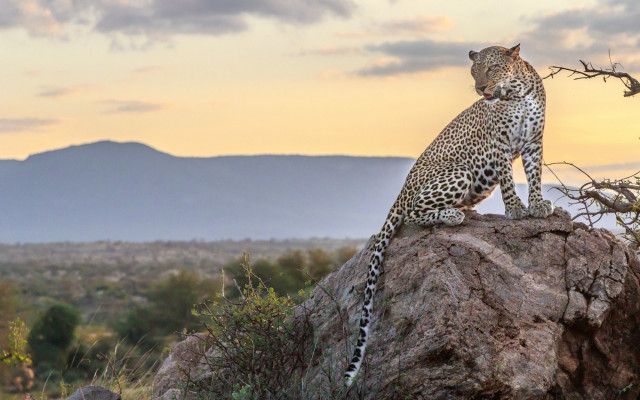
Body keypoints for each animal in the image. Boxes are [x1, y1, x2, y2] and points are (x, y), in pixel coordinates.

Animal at [344, 44, 554, 386]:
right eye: (474, 70)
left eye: (492, 68)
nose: (481, 88)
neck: (517, 93)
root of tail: (401, 190)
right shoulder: (499, 143)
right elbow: (508, 179)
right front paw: (514, 209)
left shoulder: (534, 141)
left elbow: (535, 176)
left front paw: (537, 205)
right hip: (457, 173)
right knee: (412, 214)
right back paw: (453, 215)